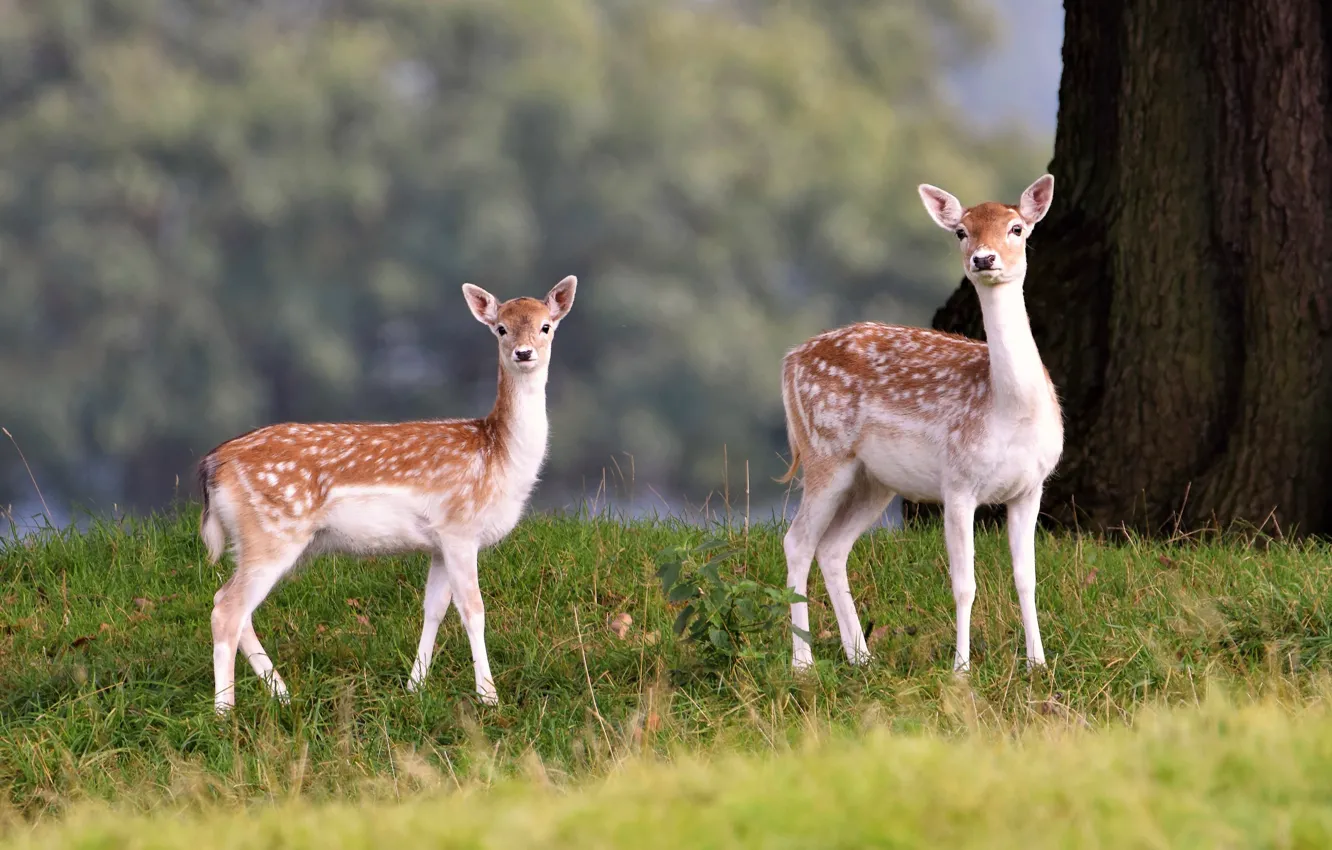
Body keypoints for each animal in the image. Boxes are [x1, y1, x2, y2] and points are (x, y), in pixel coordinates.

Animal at [198, 277, 578, 714]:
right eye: (501, 328)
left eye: (546, 325)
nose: (524, 352)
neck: (499, 456)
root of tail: (214, 463)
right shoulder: (461, 528)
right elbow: (473, 610)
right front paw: (488, 696)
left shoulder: (439, 542)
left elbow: (434, 608)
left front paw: (416, 686)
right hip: (271, 530)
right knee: (227, 609)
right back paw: (224, 712)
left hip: (265, 539)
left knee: (233, 605)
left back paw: (282, 694)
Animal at [777, 174, 1060, 679]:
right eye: (961, 231)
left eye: (1017, 228)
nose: (983, 259)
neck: (1009, 410)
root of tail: (790, 360)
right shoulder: (958, 483)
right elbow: (964, 584)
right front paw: (961, 669)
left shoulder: (1031, 487)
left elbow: (1027, 579)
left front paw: (1037, 664)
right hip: (824, 452)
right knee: (797, 542)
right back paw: (803, 663)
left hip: (875, 481)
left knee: (832, 548)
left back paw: (862, 656)